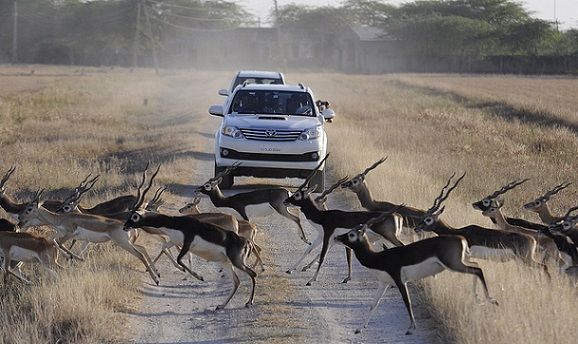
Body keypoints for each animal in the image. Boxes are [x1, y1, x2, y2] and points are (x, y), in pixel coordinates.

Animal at [122, 169, 255, 310]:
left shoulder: (186, 243)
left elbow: (179, 259)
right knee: (237, 281)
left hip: (236, 261)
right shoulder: (175, 242)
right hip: (226, 261)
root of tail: (246, 242)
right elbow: (166, 249)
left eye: (135, 216)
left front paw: (198, 277)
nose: (125, 226)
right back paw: (222, 305)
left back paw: (249, 302)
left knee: (252, 274)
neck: (174, 223)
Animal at [410, 173, 548, 276]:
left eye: (428, 219)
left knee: (544, 267)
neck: (459, 232)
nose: (416, 228)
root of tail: (532, 239)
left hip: (527, 260)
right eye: (423, 217)